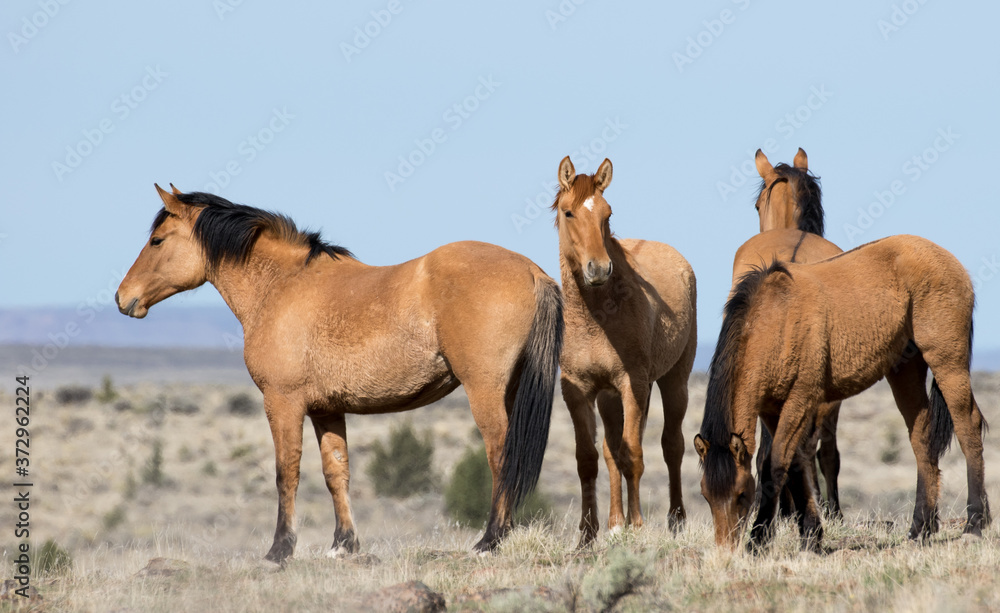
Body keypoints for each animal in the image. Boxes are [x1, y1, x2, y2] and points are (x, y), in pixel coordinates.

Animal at [116, 185, 563, 562]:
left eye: (157, 241)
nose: (123, 298)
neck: (281, 287)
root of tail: (531, 270)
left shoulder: (282, 402)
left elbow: (286, 472)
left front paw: (280, 550)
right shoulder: (325, 409)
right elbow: (336, 472)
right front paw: (344, 544)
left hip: (484, 390)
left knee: (501, 453)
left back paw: (491, 539)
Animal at [553, 157, 697, 547]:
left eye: (607, 213)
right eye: (568, 212)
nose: (599, 268)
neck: (597, 318)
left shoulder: (633, 385)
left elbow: (633, 454)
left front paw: (637, 526)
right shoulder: (579, 390)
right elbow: (589, 458)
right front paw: (588, 533)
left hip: (674, 381)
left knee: (672, 446)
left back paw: (675, 520)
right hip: (608, 397)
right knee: (610, 450)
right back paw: (616, 521)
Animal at [695, 234, 990, 550]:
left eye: (741, 495)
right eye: (706, 496)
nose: (725, 548)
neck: (776, 320)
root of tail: (945, 257)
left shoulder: (800, 400)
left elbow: (775, 467)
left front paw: (759, 539)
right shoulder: (773, 410)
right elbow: (793, 464)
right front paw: (811, 534)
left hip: (948, 362)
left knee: (968, 427)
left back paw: (974, 523)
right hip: (905, 371)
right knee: (922, 439)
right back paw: (920, 528)